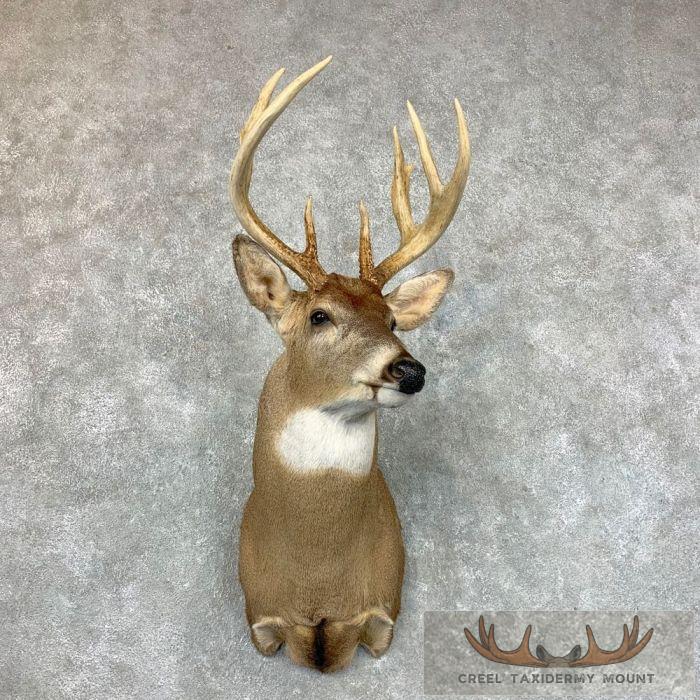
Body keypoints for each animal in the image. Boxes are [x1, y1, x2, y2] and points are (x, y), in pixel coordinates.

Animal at [228, 56, 470, 672]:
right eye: (319, 316)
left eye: (391, 320)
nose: (408, 370)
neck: (319, 577)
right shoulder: (260, 616)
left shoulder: (383, 610)